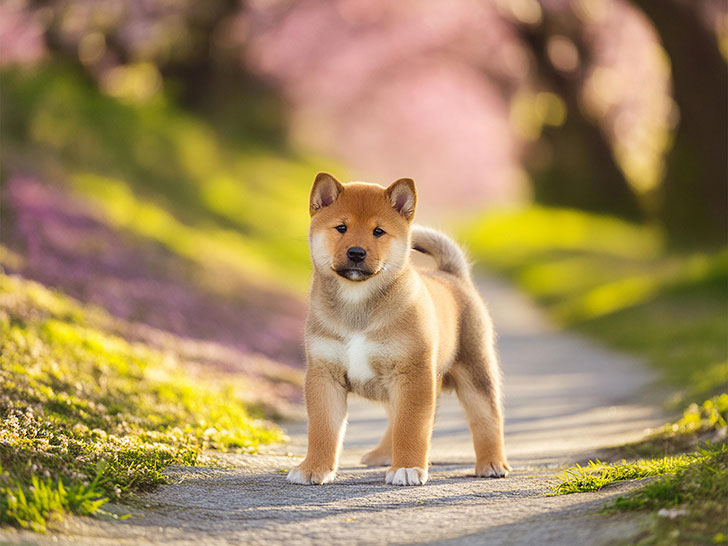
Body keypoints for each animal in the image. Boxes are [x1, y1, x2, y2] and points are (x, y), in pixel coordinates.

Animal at [288, 171, 510, 484]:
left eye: (378, 232)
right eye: (341, 227)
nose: (356, 253)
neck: (358, 306)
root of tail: (453, 275)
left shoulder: (412, 374)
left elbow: (411, 427)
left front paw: (407, 467)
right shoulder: (324, 375)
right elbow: (323, 429)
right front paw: (313, 468)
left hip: (475, 370)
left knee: (487, 417)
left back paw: (492, 463)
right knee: (395, 419)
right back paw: (384, 455)